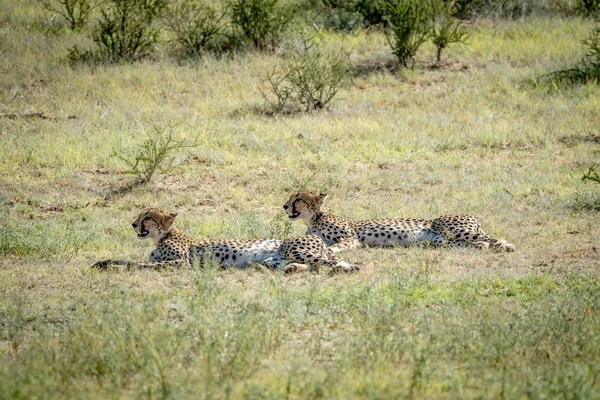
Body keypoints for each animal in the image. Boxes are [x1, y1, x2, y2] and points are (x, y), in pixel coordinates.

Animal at [282, 191, 516, 253]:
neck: (314, 220)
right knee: (481, 242)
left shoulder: (352, 237)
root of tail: (472, 215)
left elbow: (340, 244)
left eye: (298, 198)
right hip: (444, 240)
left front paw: (331, 251)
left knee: (491, 238)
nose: (284, 206)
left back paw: (507, 245)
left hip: (451, 229)